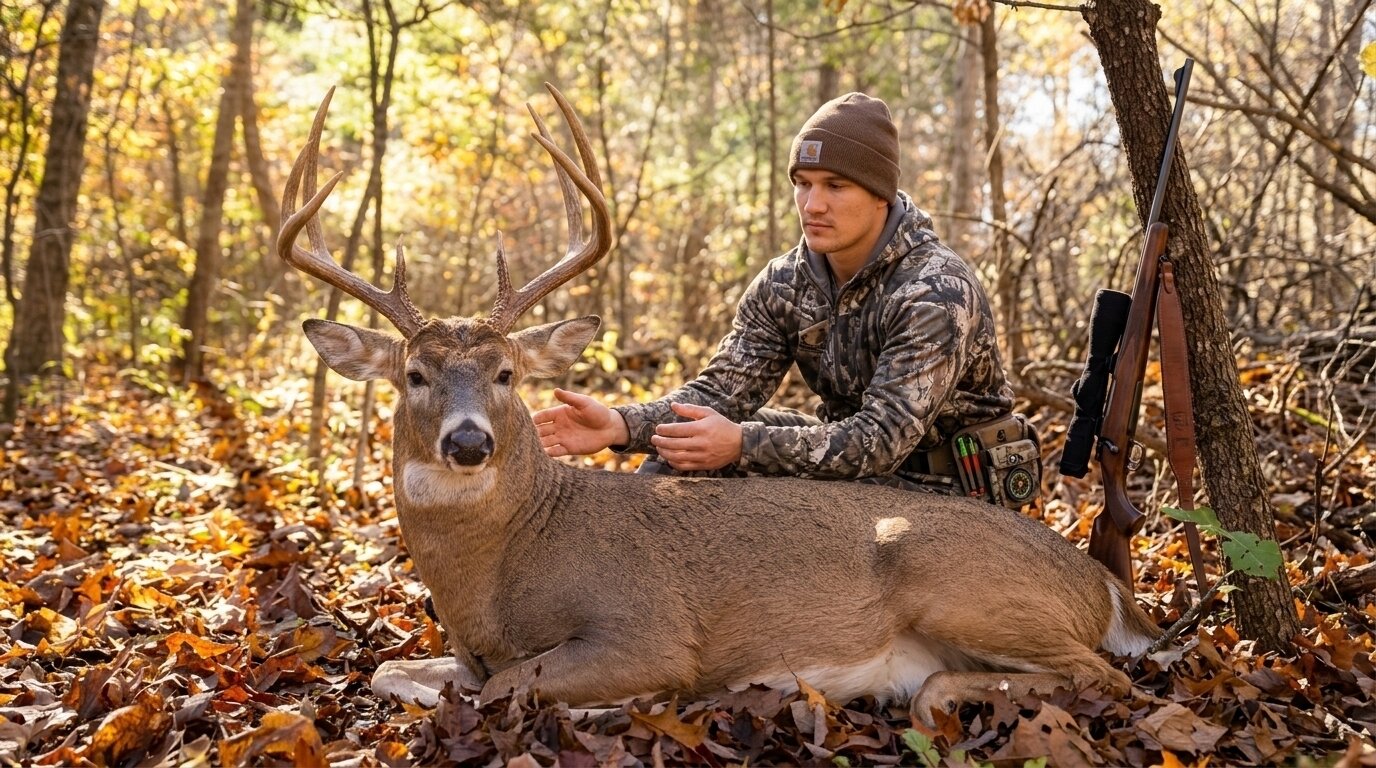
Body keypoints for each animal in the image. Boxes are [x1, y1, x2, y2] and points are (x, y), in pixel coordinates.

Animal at [277, 84, 1162, 727]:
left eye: (505, 373)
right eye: (414, 375)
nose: (468, 443)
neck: (500, 570)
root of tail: (1104, 587)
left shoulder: (647, 629)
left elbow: (506, 687)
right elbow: (396, 670)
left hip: (963, 587)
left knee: (1109, 681)